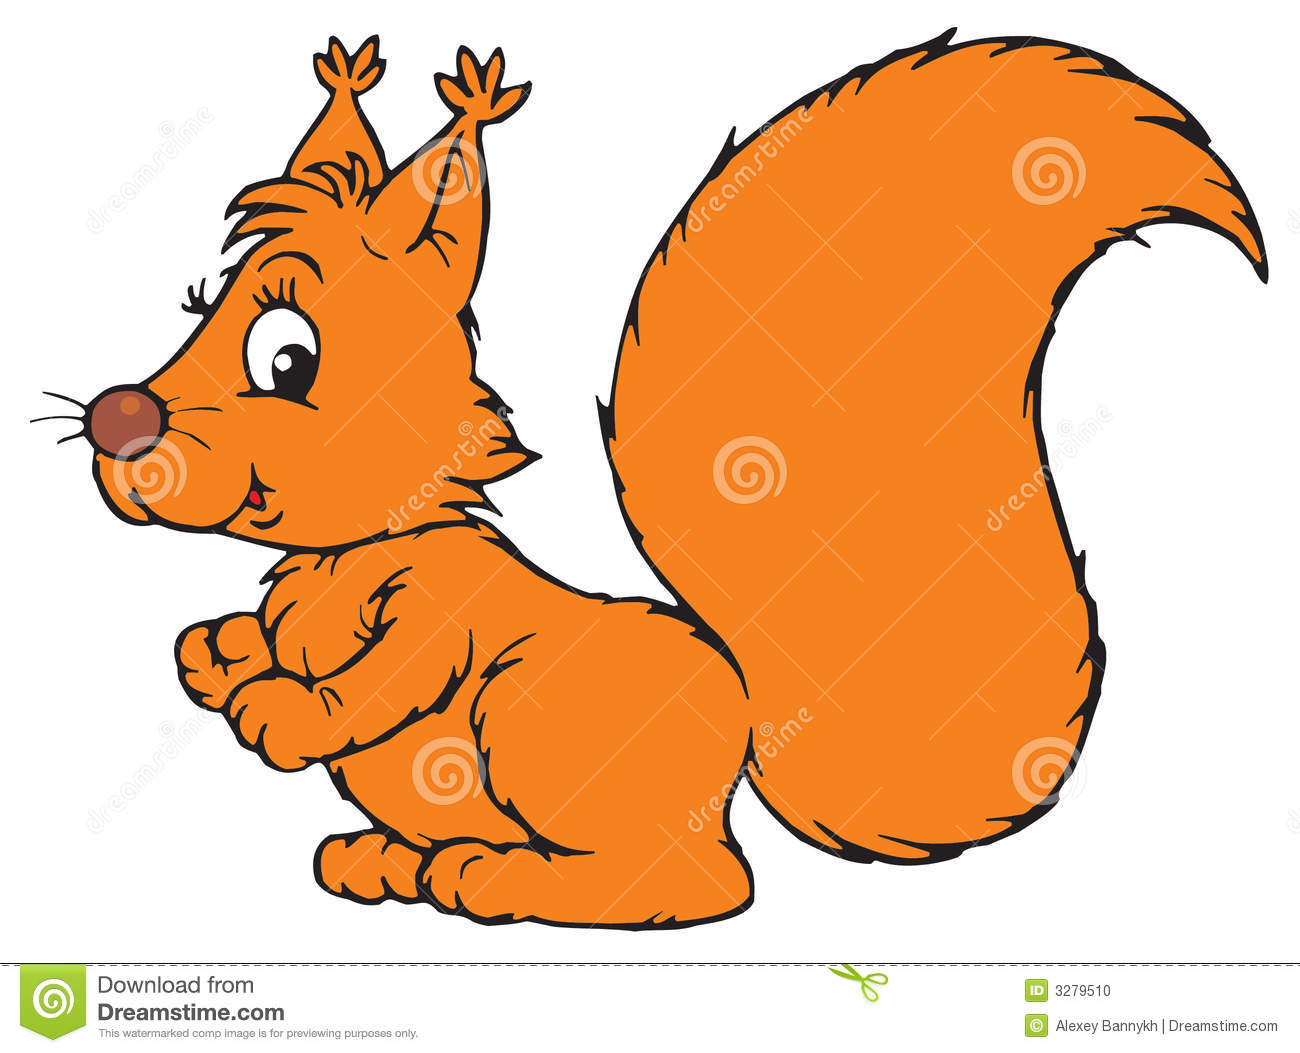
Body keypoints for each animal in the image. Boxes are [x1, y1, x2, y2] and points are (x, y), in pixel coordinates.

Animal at [66, 32, 1264, 928]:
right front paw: (218, 654)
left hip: (532, 720)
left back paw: (495, 877)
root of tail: (736, 745)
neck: (345, 555)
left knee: (701, 888)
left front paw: (281, 709)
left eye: (288, 358)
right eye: (195, 308)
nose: (119, 419)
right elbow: (255, 634)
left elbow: (383, 679)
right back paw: (387, 860)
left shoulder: (445, 611)